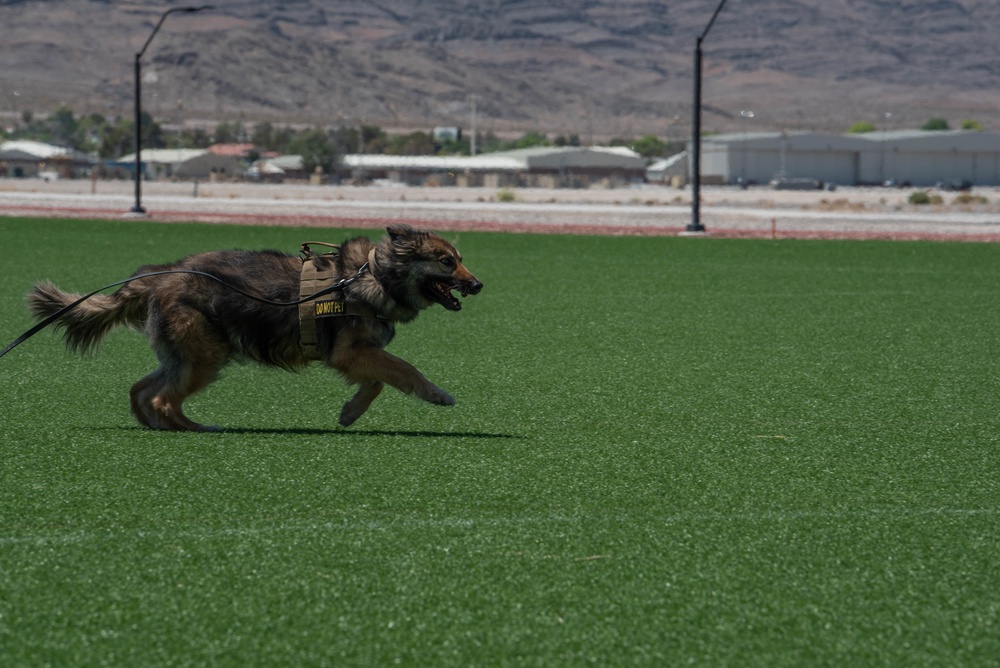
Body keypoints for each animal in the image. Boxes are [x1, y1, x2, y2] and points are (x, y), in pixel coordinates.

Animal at [29, 226, 482, 434]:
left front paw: (350, 411)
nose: (478, 285)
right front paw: (437, 394)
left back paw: (156, 424)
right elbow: (403, 369)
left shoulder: (356, 354)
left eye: (460, 259)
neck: (373, 273)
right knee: (162, 398)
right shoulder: (352, 352)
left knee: (142, 389)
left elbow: (376, 383)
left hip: (187, 355)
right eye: (446, 262)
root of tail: (159, 276)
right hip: (207, 356)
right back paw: (194, 429)